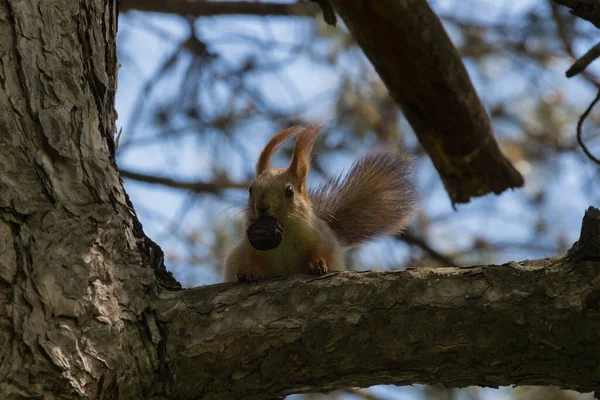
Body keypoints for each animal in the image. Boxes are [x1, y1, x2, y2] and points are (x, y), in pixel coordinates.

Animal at [223, 125, 414, 282]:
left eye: (290, 191)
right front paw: (248, 272)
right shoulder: (247, 249)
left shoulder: (320, 237)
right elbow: (250, 261)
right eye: (250, 189)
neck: (285, 234)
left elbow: (321, 252)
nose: (262, 207)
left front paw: (317, 263)